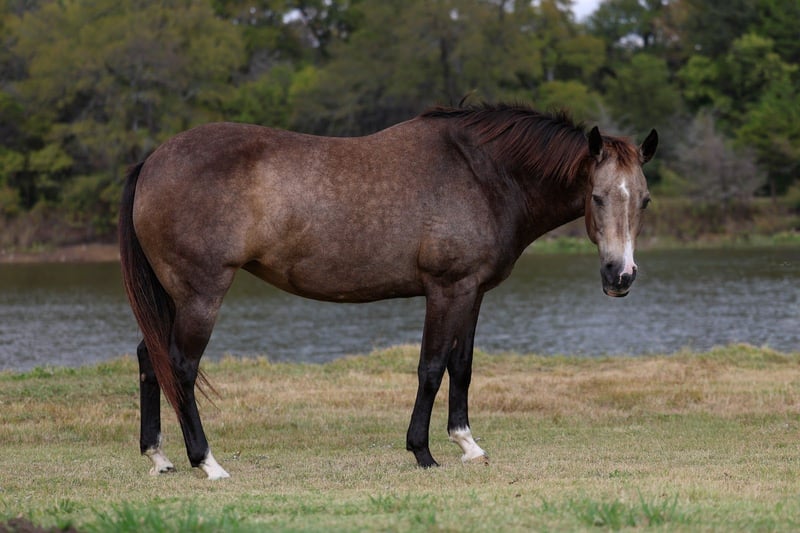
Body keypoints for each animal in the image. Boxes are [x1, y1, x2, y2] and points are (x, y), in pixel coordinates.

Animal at [119, 103, 657, 479]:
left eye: (645, 199)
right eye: (597, 196)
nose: (621, 276)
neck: (482, 174)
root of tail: (152, 160)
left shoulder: (473, 292)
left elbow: (462, 365)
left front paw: (467, 444)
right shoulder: (446, 290)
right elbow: (432, 367)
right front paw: (423, 452)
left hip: (173, 296)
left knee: (150, 358)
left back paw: (158, 457)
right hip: (200, 296)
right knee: (181, 367)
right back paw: (207, 463)